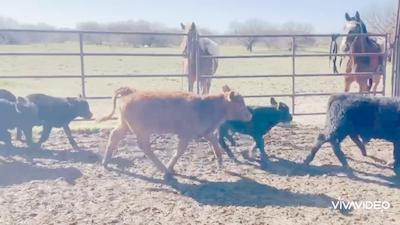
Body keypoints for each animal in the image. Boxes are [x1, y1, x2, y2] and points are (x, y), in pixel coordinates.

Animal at [97, 85, 252, 178]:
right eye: (239, 104)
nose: (250, 116)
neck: (206, 107)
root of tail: (130, 92)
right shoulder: (185, 135)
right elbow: (179, 152)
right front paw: (170, 167)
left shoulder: (204, 131)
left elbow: (214, 141)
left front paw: (220, 161)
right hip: (142, 130)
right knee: (144, 146)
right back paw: (163, 169)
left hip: (124, 125)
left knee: (114, 136)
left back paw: (105, 162)